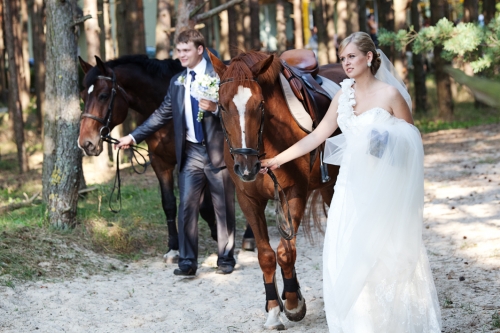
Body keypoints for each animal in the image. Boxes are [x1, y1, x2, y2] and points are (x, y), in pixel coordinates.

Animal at [77, 55, 220, 249]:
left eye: (103, 95)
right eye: (83, 96)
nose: (86, 143)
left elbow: (205, 205)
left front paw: (217, 234)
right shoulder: (160, 162)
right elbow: (169, 203)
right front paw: (173, 246)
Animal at [209, 50, 346, 328]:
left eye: (260, 105)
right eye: (222, 106)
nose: (246, 167)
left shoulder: (295, 192)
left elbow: (285, 252)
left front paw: (293, 303)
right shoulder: (248, 199)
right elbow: (266, 255)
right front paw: (273, 309)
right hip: (327, 187)